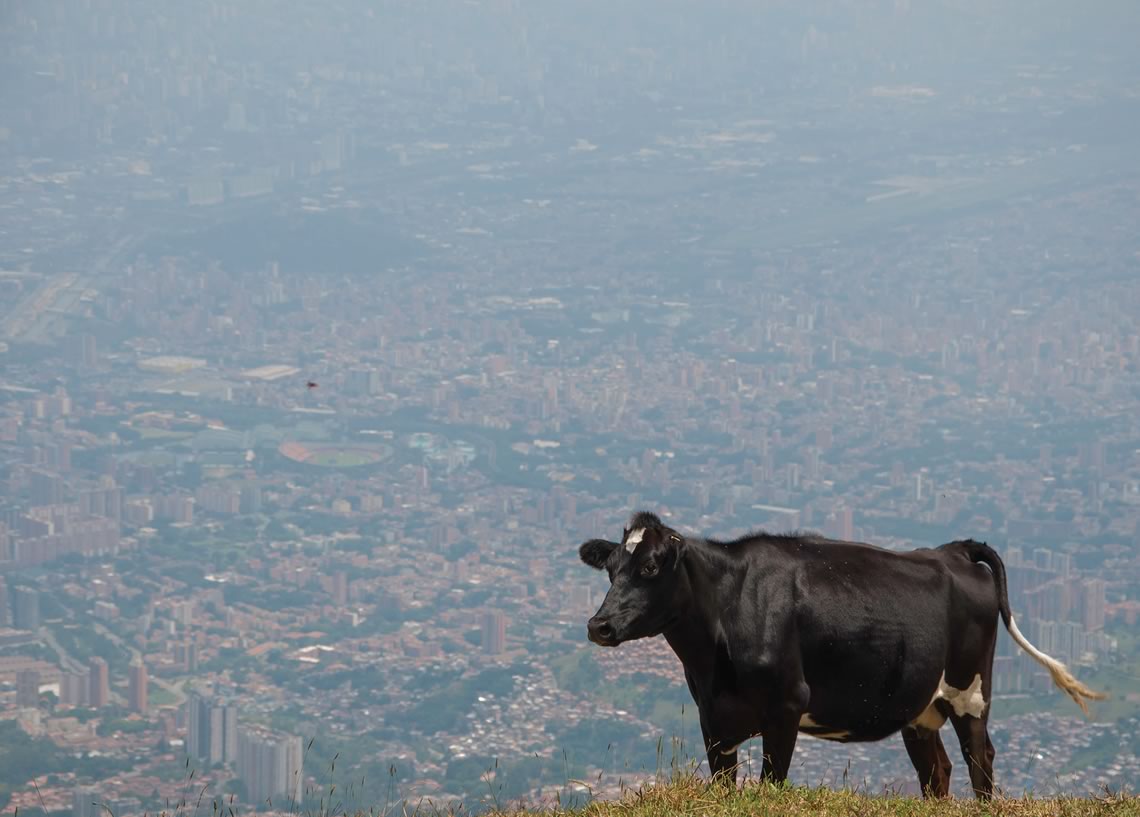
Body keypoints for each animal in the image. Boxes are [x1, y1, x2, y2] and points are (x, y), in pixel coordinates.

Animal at [579, 510, 1103, 797]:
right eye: (611, 569)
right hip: (920, 707)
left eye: (650, 567)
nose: (598, 626)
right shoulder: (714, 717)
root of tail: (951, 551)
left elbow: (772, 783)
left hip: (969, 691)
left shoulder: (787, 706)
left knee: (980, 759)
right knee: (938, 770)